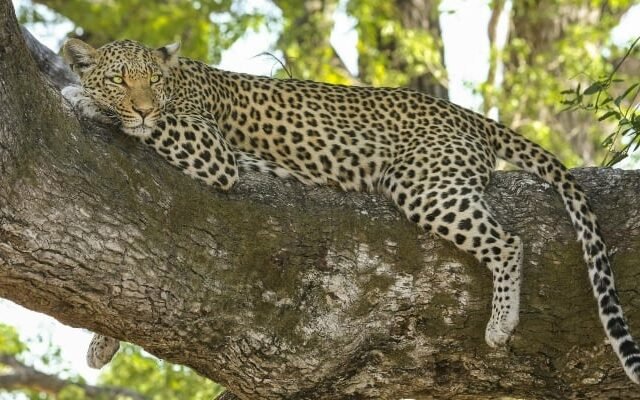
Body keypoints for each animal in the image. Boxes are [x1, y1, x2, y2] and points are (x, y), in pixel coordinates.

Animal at [61, 38, 640, 383]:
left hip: (425, 184)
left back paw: (501, 323)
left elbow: (156, 126)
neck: (178, 82)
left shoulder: (211, 150)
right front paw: (102, 342)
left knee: (509, 241)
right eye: (121, 79)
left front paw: (79, 97)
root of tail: (467, 114)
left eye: (151, 81)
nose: (141, 105)